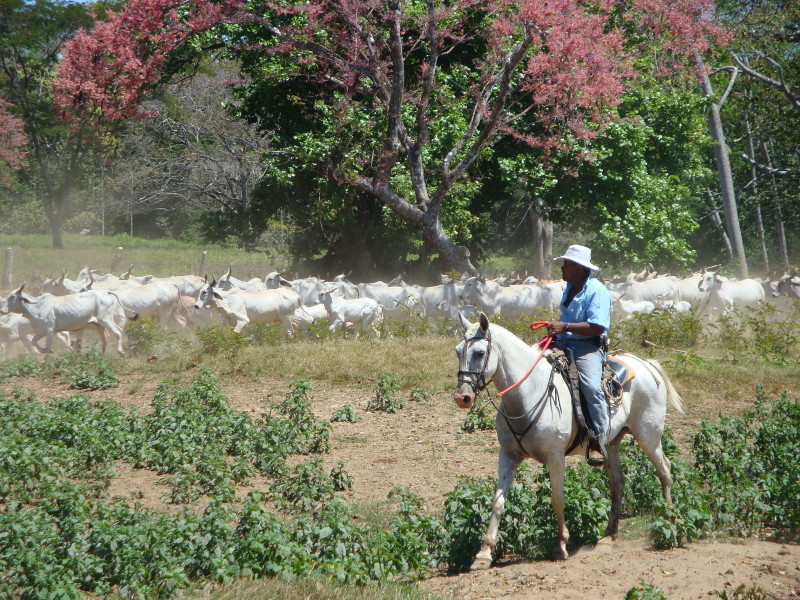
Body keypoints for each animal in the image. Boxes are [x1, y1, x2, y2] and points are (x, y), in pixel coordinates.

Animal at [454, 314, 684, 572]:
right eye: (458, 351)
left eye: (480, 352)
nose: (462, 397)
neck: (529, 392)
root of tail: (647, 364)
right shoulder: (508, 455)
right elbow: (497, 503)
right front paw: (484, 554)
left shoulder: (555, 457)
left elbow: (557, 499)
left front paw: (561, 545)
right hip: (611, 444)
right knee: (618, 483)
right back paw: (608, 536)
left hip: (649, 435)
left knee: (664, 471)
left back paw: (672, 522)